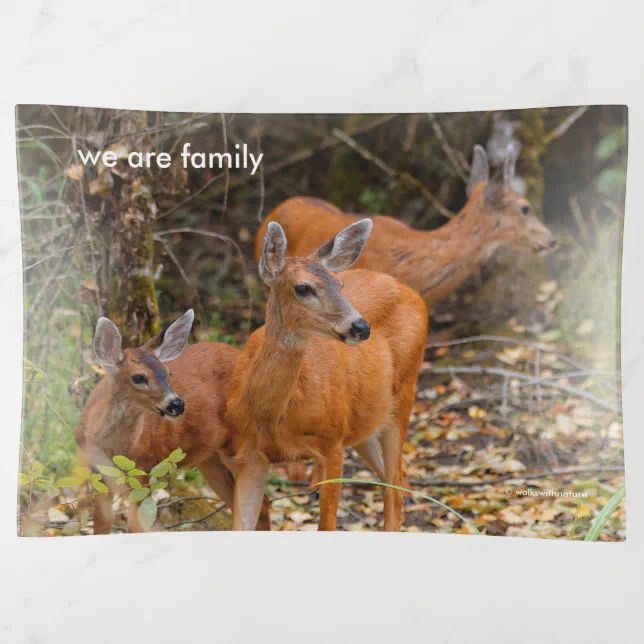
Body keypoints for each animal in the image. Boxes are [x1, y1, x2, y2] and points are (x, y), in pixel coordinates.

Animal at [75, 310, 270, 536]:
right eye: (138, 377)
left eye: (168, 373)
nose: (177, 404)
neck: (114, 448)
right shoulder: (98, 471)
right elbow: (102, 525)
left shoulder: (145, 467)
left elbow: (137, 527)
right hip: (209, 458)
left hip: (241, 440)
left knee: (261, 501)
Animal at [226, 219, 428, 532]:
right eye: (302, 288)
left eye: (339, 284)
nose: (361, 327)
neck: (272, 419)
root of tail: (409, 290)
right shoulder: (247, 453)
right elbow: (240, 524)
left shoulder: (332, 441)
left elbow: (327, 524)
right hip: (365, 419)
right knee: (395, 478)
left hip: (403, 394)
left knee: (393, 488)